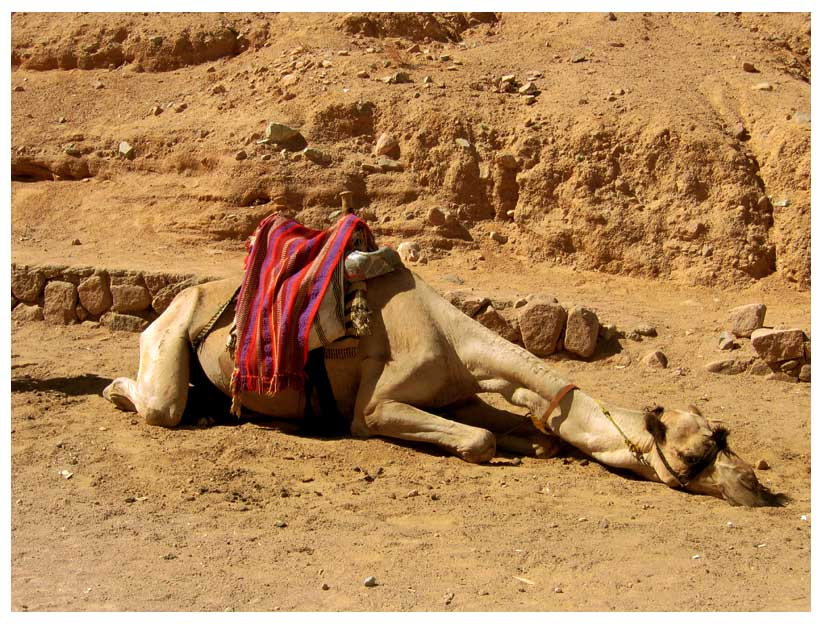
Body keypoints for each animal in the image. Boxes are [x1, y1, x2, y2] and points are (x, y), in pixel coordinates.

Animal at [103, 266, 784, 507]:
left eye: (723, 434)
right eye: (695, 454)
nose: (756, 485)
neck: (460, 345)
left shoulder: (457, 392)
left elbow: (532, 431)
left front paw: (535, 442)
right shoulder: (376, 408)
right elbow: (477, 440)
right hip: (172, 338)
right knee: (160, 403)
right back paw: (116, 389)